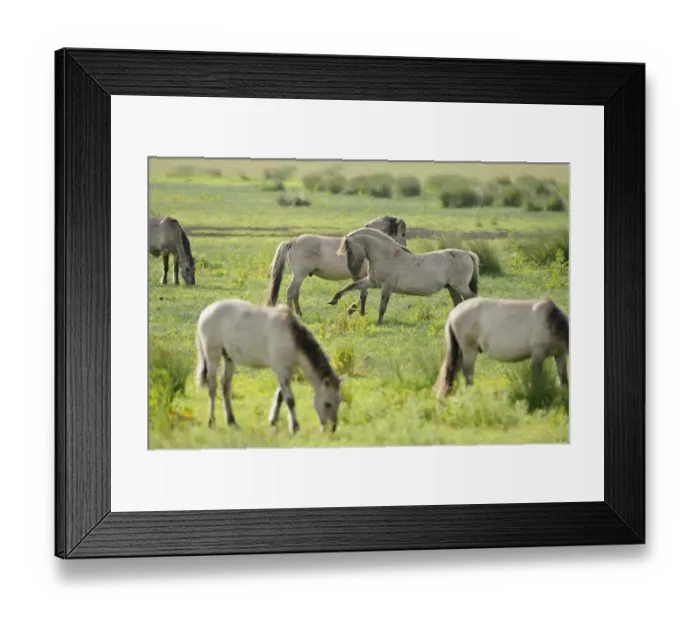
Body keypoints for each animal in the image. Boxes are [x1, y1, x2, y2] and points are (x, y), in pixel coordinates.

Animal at [195, 298, 345, 434]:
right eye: (327, 404)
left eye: (339, 401)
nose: (332, 428)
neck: (291, 336)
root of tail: (205, 312)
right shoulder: (281, 370)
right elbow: (289, 399)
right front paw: (294, 427)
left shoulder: (289, 370)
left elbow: (280, 397)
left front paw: (273, 422)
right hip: (212, 356)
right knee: (212, 387)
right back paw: (211, 421)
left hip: (228, 358)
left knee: (225, 386)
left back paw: (231, 421)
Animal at [264, 215, 408, 317]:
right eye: (403, 234)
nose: (404, 249)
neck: (365, 244)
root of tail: (293, 241)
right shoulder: (364, 277)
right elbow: (363, 294)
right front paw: (355, 311)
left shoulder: (359, 277)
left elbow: (362, 294)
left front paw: (358, 312)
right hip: (299, 275)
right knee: (290, 292)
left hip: (299, 276)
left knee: (295, 293)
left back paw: (299, 313)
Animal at [328, 227, 480, 325]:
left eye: (349, 250)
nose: (354, 272)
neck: (387, 256)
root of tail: (468, 254)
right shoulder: (372, 282)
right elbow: (351, 286)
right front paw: (334, 300)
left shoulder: (386, 286)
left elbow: (382, 306)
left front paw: (379, 323)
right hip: (452, 288)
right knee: (458, 303)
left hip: (459, 286)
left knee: (472, 298)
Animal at [432, 296, 569, 398]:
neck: (551, 321)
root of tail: (452, 314)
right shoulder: (538, 355)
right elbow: (536, 378)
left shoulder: (560, 355)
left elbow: (563, 379)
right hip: (469, 351)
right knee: (467, 375)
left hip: (461, 352)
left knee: (452, 371)